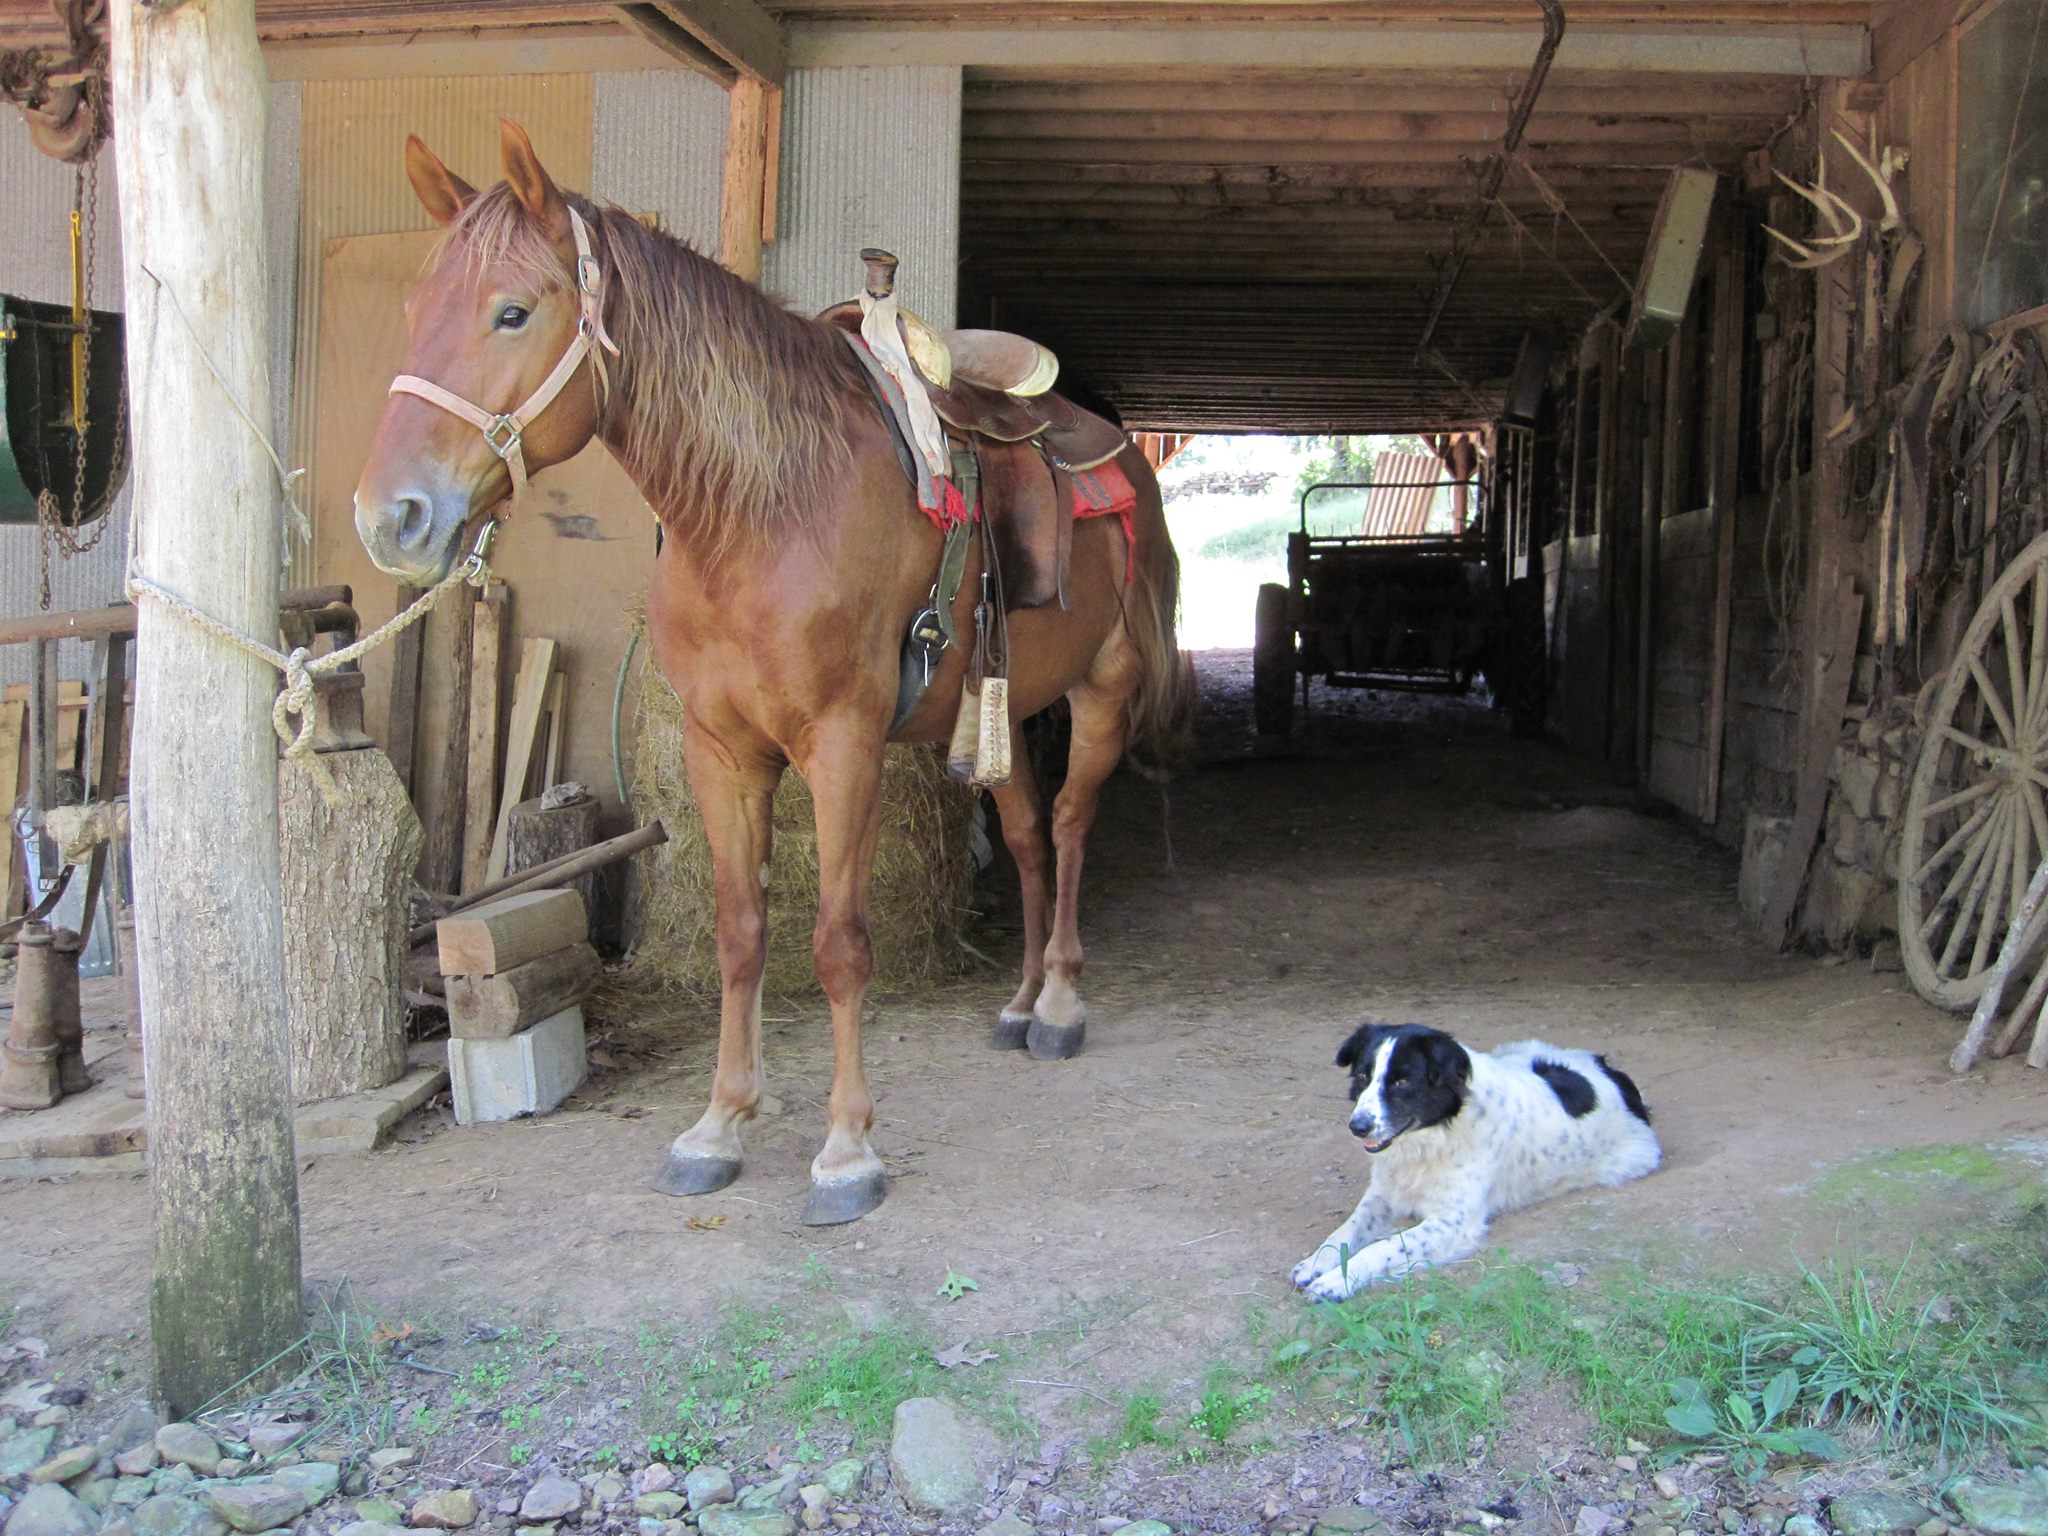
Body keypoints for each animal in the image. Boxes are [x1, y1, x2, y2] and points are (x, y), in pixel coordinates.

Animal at [358, 120, 1196, 1228]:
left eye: (512, 311)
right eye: (414, 311)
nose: (390, 518)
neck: (764, 506)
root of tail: (1117, 447)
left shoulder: (840, 746)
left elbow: (838, 943)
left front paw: (846, 1150)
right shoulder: (722, 752)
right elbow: (741, 933)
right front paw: (718, 1125)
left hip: (1101, 693)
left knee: (1065, 827)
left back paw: (1058, 1000)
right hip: (1002, 713)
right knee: (1021, 836)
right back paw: (1018, 1002)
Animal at [1294, 1028, 1662, 1302]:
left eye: (1402, 1082)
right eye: (1362, 1076)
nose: (1357, 1126)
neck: (1435, 1135)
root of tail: (1613, 1073)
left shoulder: (1452, 1222)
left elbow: (1381, 1247)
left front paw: (1337, 1281)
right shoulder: (1384, 1194)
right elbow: (1345, 1230)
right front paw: (1316, 1262)